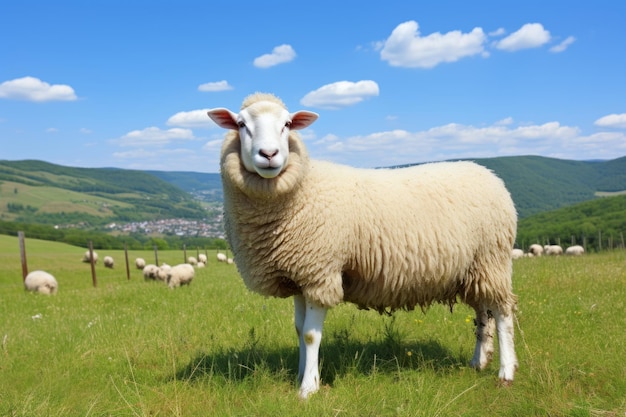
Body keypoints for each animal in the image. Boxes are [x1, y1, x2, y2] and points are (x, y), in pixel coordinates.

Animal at [207, 92, 520, 398]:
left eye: (287, 124)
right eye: (241, 124)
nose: (269, 155)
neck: (302, 189)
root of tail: (490, 175)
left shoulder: (320, 273)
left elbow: (310, 335)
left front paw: (308, 388)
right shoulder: (299, 275)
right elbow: (298, 330)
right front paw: (300, 375)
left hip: (493, 259)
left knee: (502, 313)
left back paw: (506, 372)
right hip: (475, 269)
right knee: (483, 313)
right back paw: (479, 361)